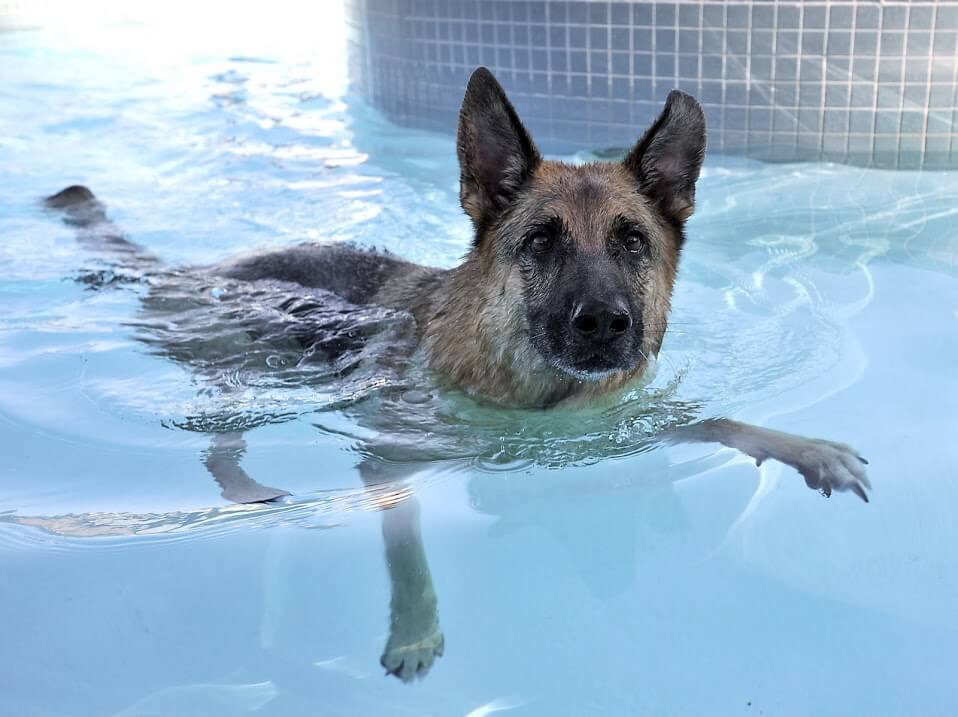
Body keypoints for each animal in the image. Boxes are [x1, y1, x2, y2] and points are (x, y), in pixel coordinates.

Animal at [43, 68, 872, 684]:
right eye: (541, 240)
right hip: (234, 366)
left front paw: (805, 447)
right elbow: (407, 541)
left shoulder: (617, 420)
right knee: (219, 439)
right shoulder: (388, 459)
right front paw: (415, 627)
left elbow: (713, 419)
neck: (537, 394)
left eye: (632, 240)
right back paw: (246, 488)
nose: (605, 323)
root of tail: (195, 268)